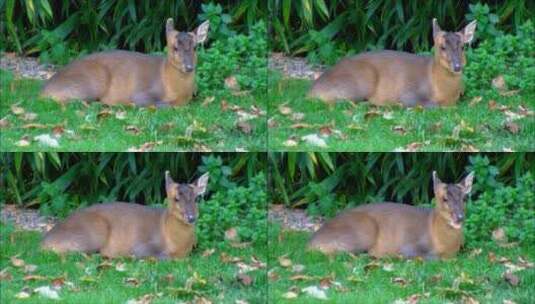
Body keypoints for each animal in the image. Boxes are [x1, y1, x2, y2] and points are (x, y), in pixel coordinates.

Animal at [39, 18, 210, 107]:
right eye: (174, 47)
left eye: (195, 47)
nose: (189, 67)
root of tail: (44, 91)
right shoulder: (142, 93)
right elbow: (163, 104)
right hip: (91, 83)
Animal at [40, 171, 209, 258]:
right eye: (176, 198)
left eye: (197, 198)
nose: (191, 217)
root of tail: (44, 242)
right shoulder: (142, 246)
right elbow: (161, 256)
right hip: (93, 234)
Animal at [308, 18, 480, 107]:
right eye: (442, 46)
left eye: (463, 47)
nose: (457, 66)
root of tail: (312, 90)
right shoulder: (409, 93)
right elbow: (431, 105)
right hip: (360, 82)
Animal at [308, 171, 476, 258]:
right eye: (444, 198)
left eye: (465, 198)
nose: (460, 217)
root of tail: (311, 243)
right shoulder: (410, 245)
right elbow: (431, 256)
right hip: (364, 231)